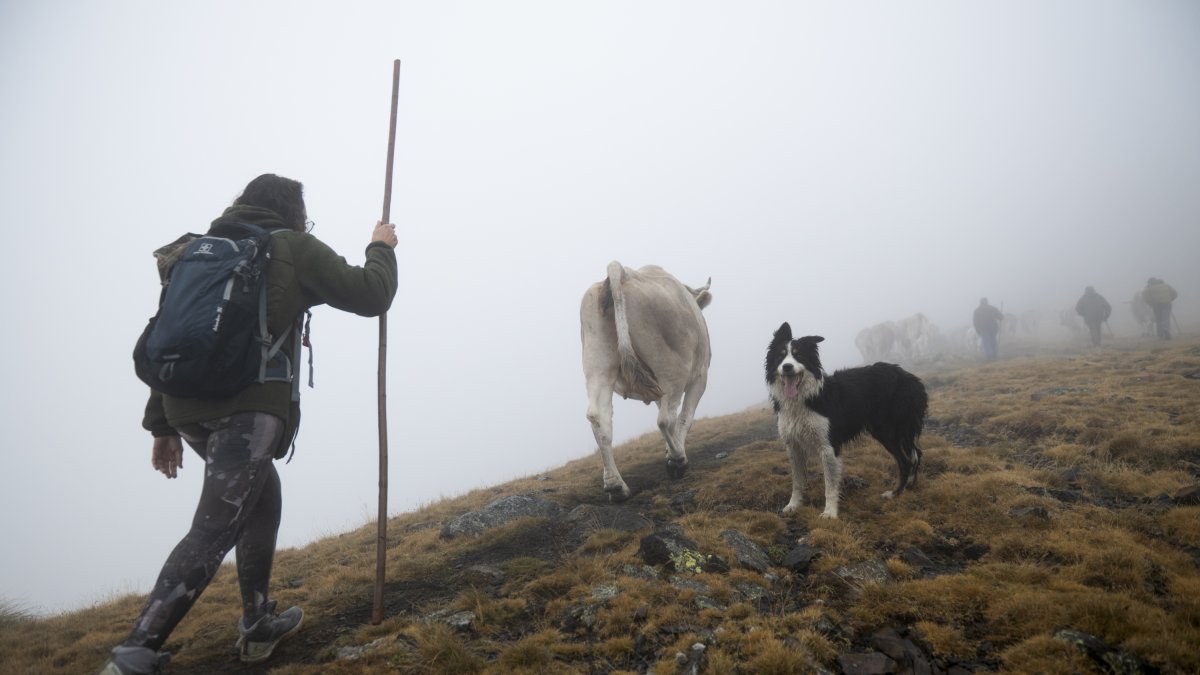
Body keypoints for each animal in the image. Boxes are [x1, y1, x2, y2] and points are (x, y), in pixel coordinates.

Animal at [576, 260, 705, 502]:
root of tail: (620, 271)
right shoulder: (700, 376)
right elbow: (684, 417)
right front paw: (673, 453)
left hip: (597, 360)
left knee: (598, 417)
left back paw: (616, 486)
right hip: (670, 365)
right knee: (664, 418)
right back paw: (677, 461)